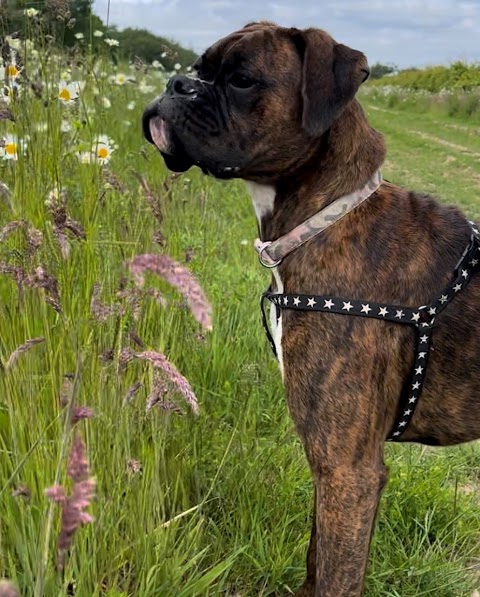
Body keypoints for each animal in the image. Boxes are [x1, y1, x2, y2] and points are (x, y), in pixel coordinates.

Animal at [141, 19, 480, 596]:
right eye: (199, 69)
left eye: (242, 80)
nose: (177, 84)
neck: (327, 218)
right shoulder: (336, 469)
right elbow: (315, 559)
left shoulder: (347, 470)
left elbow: (335, 575)